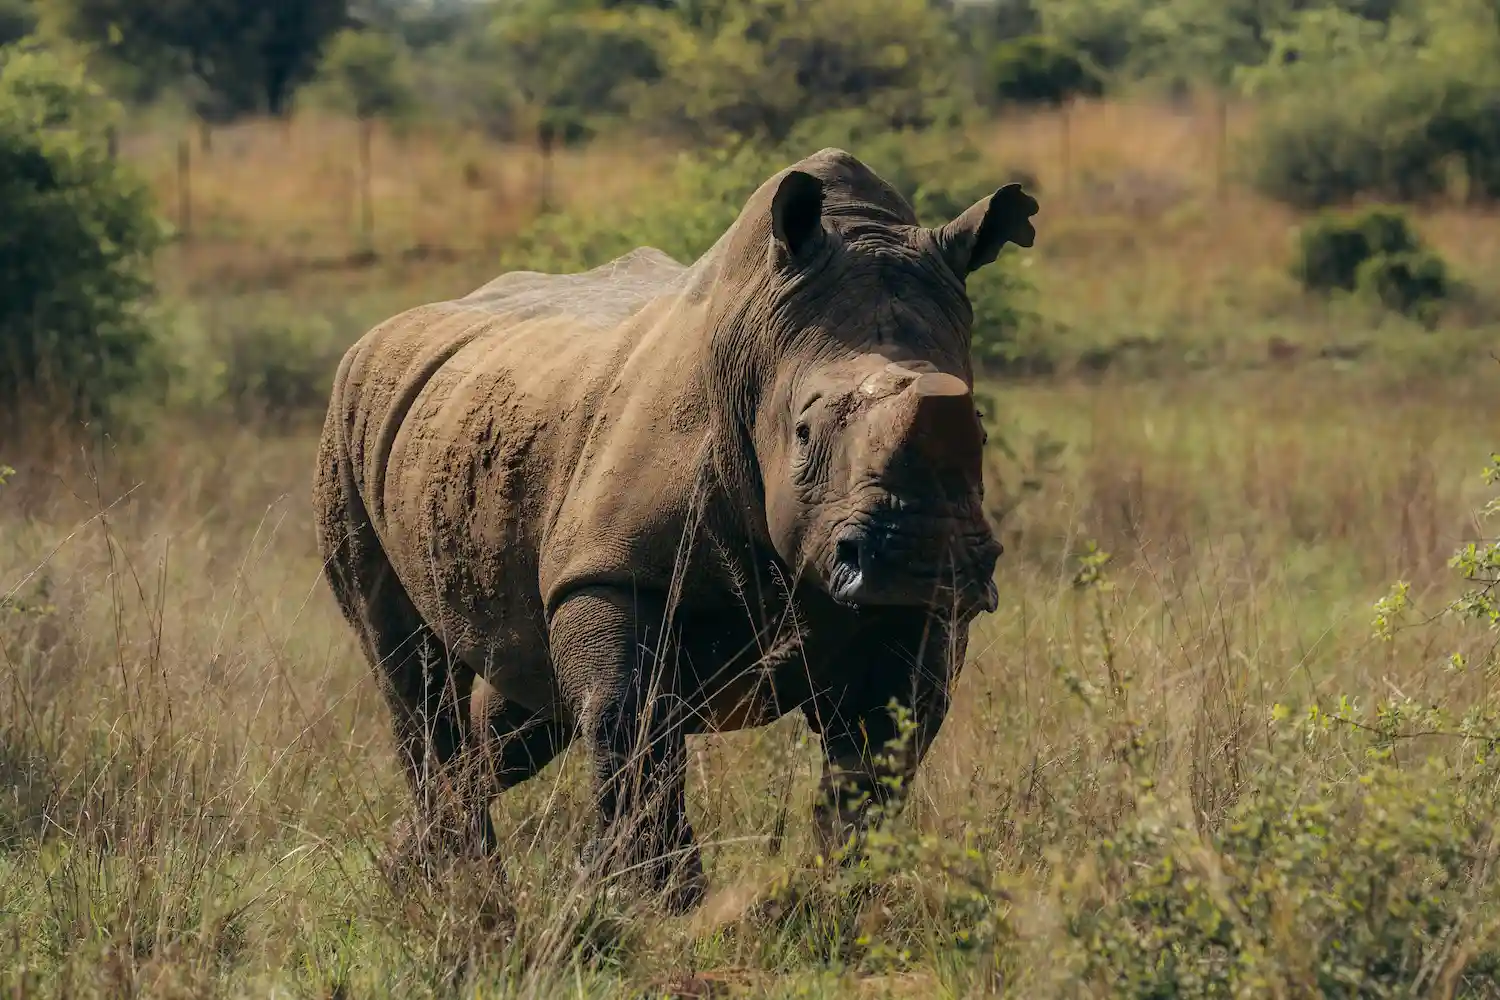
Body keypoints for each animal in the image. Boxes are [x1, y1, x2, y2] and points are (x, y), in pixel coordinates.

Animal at [313, 147, 1038, 909]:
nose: (924, 558)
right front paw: (662, 903)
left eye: (979, 431)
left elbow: (877, 752)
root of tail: (383, 332)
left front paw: (840, 898)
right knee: (414, 675)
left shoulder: (908, 610)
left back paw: (415, 876)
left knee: (525, 697)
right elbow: (629, 723)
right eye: (804, 432)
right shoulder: (611, 570)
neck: (758, 350)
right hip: (349, 420)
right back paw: (462, 890)